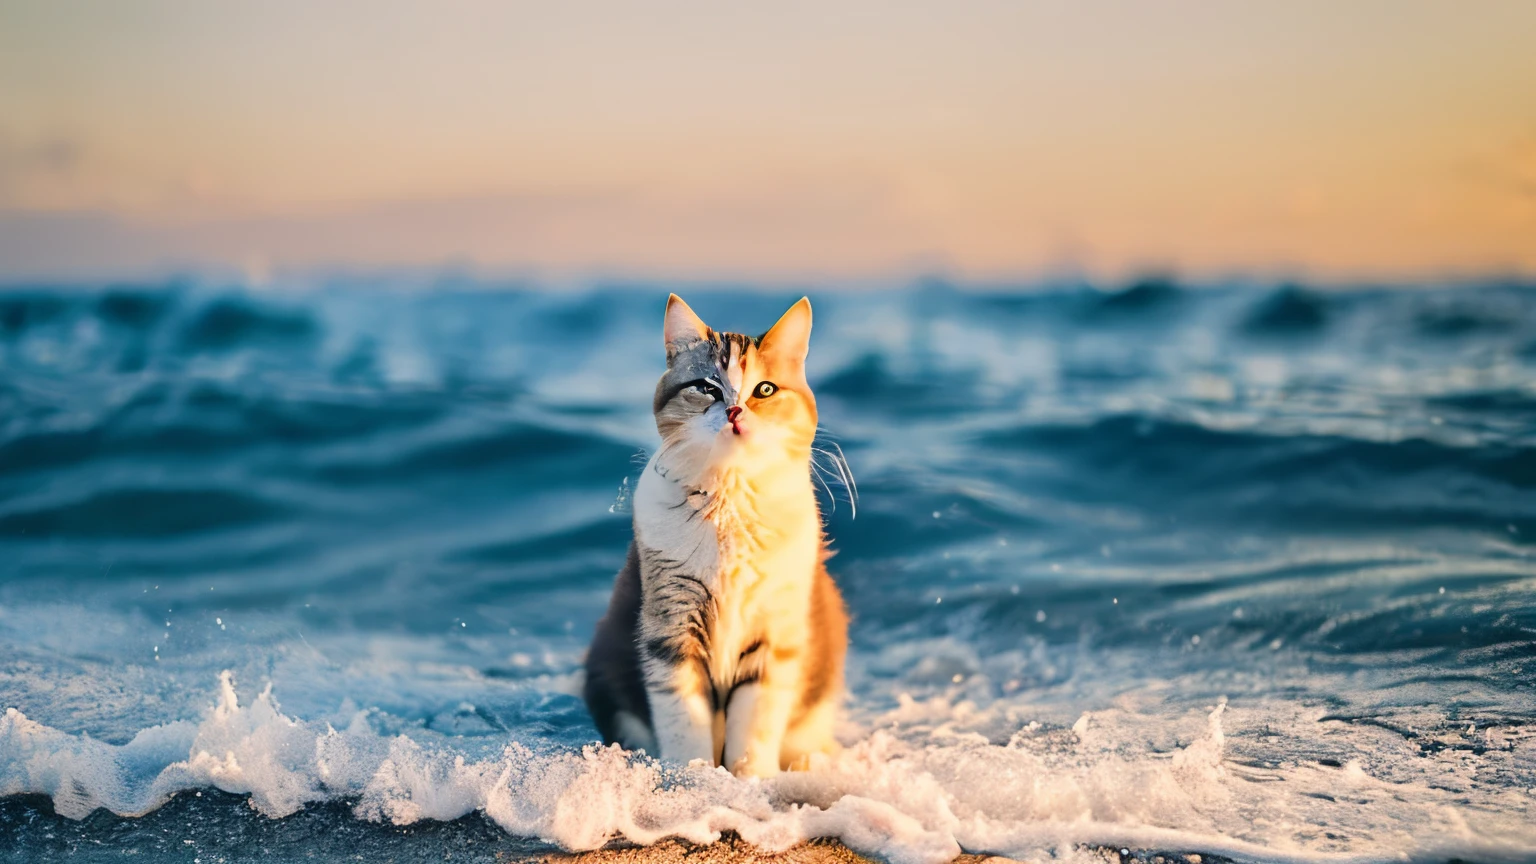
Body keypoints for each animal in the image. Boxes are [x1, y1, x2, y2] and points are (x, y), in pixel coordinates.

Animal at [583, 290, 854, 774]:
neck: (729, 504)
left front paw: (749, 780)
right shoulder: (672, 625)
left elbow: (754, 728)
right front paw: (693, 778)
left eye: (764, 389)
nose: (733, 411)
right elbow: (684, 719)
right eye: (706, 387)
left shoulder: (774, 631)